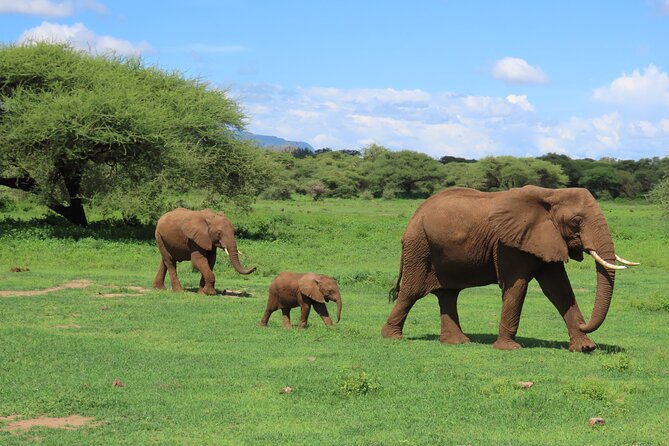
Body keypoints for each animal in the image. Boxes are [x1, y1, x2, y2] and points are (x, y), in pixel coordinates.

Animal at [381, 186, 639, 352]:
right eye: (576, 221)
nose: (584, 323)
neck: (551, 194)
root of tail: (414, 215)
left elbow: (559, 290)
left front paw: (585, 347)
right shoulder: (508, 243)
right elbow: (517, 287)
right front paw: (509, 348)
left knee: (449, 294)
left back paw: (458, 343)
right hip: (419, 245)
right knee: (412, 291)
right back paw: (392, 338)